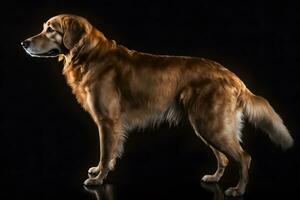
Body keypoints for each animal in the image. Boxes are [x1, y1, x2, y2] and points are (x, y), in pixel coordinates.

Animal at [21, 14, 292, 196]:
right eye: (43, 28)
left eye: (50, 30)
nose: (24, 43)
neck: (88, 55)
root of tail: (232, 75)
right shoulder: (110, 123)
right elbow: (109, 154)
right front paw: (98, 171)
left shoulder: (107, 120)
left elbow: (106, 151)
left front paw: (98, 179)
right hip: (206, 125)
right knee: (224, 158)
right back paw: (214, 178)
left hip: (210, 125)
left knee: (244, 157)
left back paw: (238, 189)